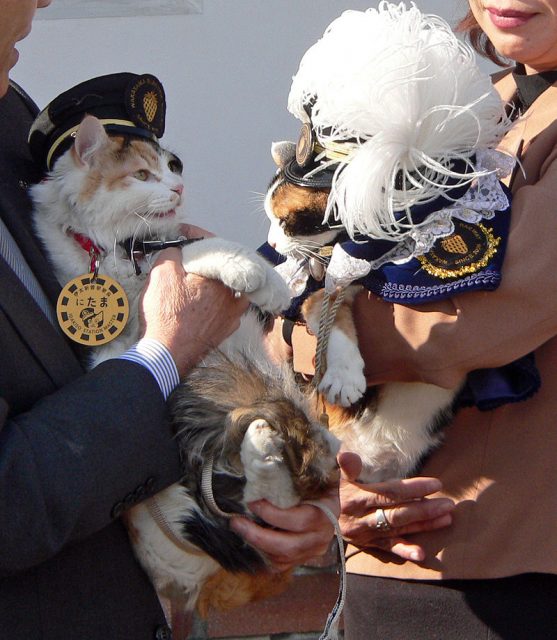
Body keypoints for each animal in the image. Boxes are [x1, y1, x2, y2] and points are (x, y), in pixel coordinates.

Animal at [33, 115, 338, 616]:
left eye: (171, 166)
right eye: (142, 174)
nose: (177, 187)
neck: (125, 249)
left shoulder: (173, 241)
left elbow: (199, 246)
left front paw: (269, 281)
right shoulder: (116, 329)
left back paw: (264, 448)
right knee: (251, 510)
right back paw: (262, 451)